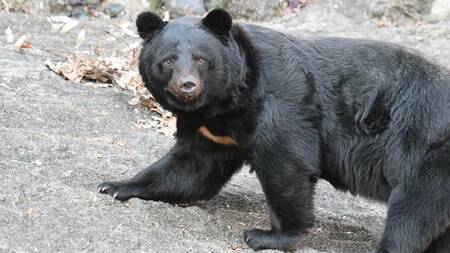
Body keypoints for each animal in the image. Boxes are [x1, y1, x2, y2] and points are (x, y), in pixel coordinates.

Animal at [98, 8, 450, 252]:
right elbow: (191, 167)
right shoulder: (215, 131)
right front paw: (115, 185)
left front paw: (267, 235)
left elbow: (286, 163)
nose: (187, 86)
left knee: (412, 214)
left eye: (201, 59)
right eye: (168, 60)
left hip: (427, 152)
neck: (227, 102)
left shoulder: (280, 100)